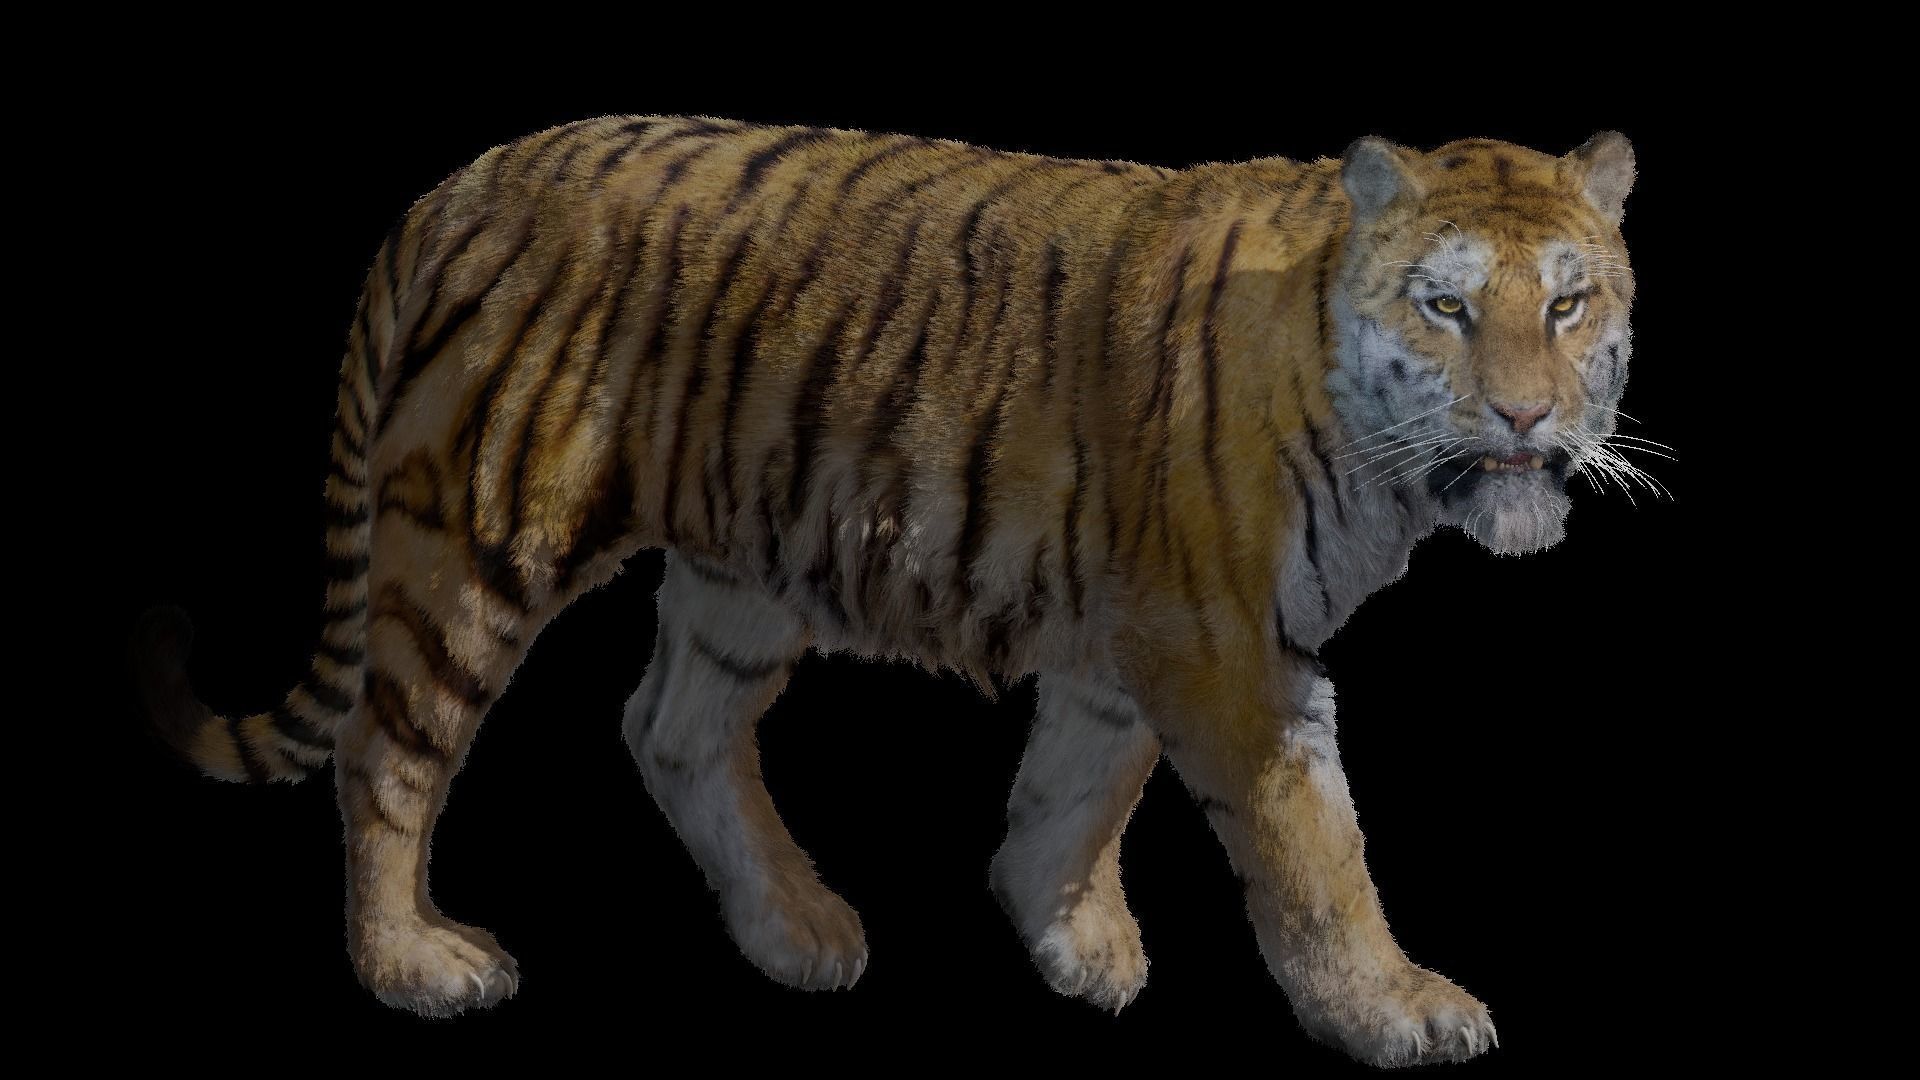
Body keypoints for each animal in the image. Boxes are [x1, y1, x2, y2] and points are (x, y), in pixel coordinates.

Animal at [132, 113, 1642, 1067]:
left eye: (1569, 305)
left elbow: (1076, 789)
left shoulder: (1137, 628)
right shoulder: (1227, 646)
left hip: (745, 567)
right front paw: (1395, 1011)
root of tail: (456, 184)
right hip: (476, 539)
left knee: (669, 729)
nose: (1527, 418)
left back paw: (796, 928)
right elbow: (1316, 850)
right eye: (1449, 307)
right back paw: (415, 965)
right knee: (387, 753)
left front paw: (1069, 939)